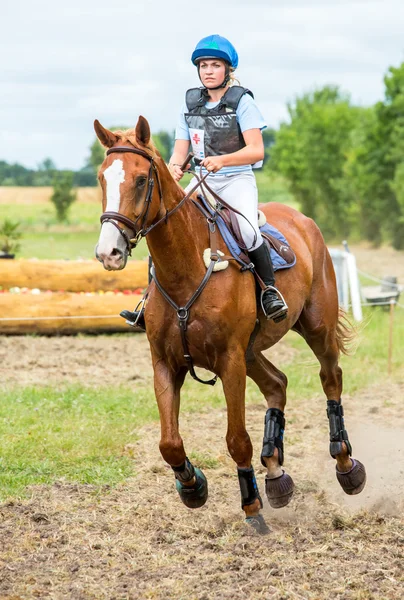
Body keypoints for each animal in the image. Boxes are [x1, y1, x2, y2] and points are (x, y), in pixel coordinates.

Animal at [94, 117, 366, 536]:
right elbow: (169, 442)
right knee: (277, 384)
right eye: (102, 178)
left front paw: (251, 507)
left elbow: (237, 439)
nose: (108, 252)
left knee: (330, 378)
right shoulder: (164, 362)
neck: (187, 268)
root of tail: (303, 220)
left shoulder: (230, 362)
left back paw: (346, 465)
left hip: (315, 328)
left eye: (141, 180)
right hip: (253, 350)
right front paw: (193, 487)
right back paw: (276, 474)